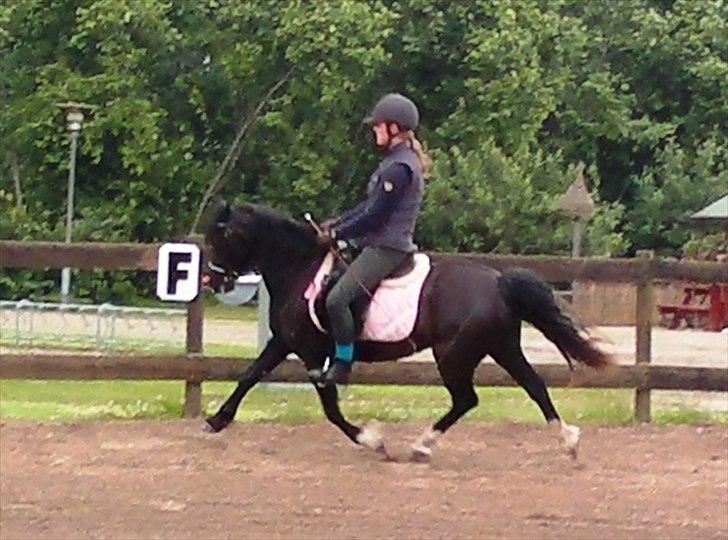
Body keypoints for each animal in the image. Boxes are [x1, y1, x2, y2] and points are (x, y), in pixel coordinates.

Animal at [202, 202, 612, 460]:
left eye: (220, 238)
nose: (211, 280)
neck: (301, 268)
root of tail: (498, 282)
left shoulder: (311, 352)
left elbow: (330, 407)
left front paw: (372, 440)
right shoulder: (285, 342)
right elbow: (249, 374)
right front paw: (217, 420)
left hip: (454, 355)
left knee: (468, 399)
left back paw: (422, 445)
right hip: (500, 347)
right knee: (533, 385)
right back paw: (568, 440)